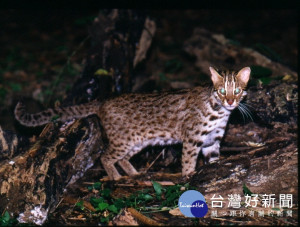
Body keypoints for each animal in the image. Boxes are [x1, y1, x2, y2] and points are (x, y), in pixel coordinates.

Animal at [15, 66, 252, 180]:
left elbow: (214, 159)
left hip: (137, 141)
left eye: (237, 90)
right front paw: (187, 176)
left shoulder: (213, 139)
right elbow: (188, 160)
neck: (219, 112)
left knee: (122, 158)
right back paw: (116, 178)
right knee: (105, 156)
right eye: (221, 91)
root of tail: (104, 101)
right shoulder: (193, 138)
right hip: (123, 141)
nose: (231, 101)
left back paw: (134, 174)